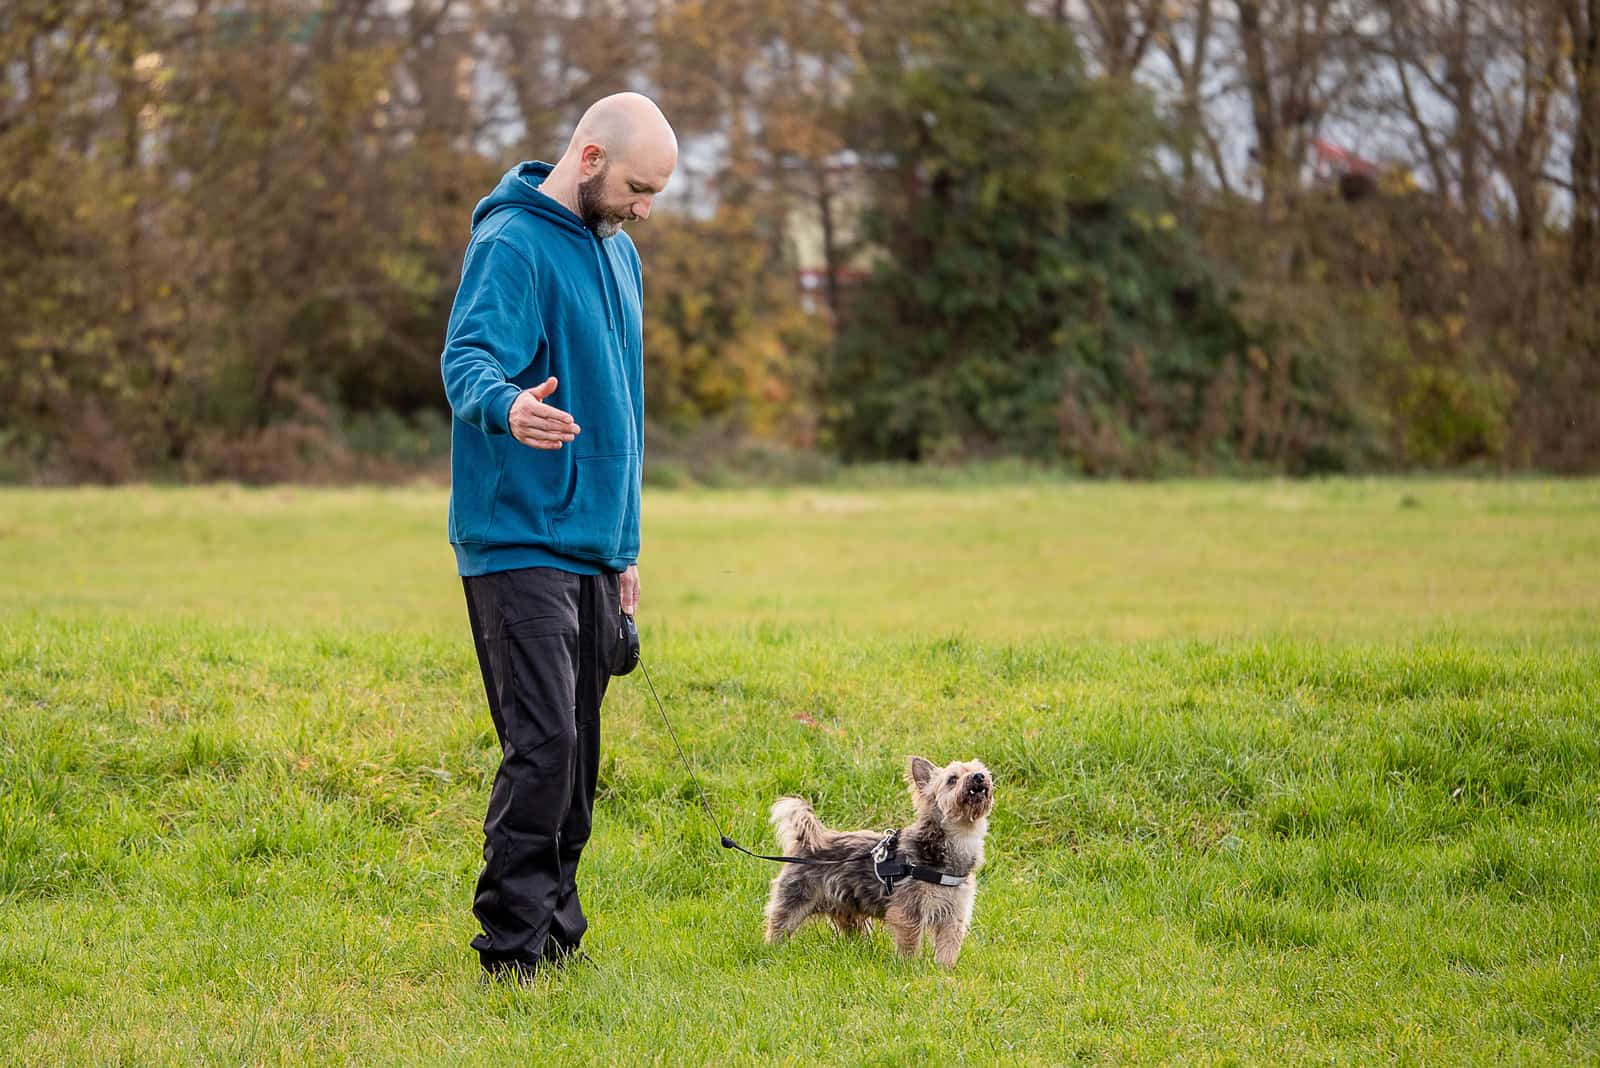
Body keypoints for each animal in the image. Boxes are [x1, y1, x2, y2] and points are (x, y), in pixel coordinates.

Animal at [758, 754, 985, 972]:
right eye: (952, 779)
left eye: (981, 770)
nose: (979, 777)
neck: (958, 840)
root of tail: (807, 841)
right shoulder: (908, 913)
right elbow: (910, 945)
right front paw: (910, 968)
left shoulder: (954, 916)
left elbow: (948, 947)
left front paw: (944, 971)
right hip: (794, 900)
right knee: (778, 926)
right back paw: (772, 950)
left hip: (847, 911)